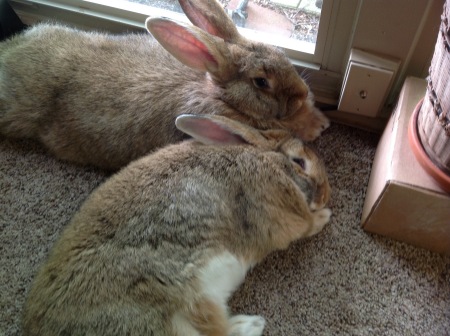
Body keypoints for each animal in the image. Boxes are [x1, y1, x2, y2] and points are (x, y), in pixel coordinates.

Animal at [22, 114, 330, 334]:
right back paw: (251, 324)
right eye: (300, 161)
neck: (266, 158)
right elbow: (305, 226)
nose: (327, 193)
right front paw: (324, 217)